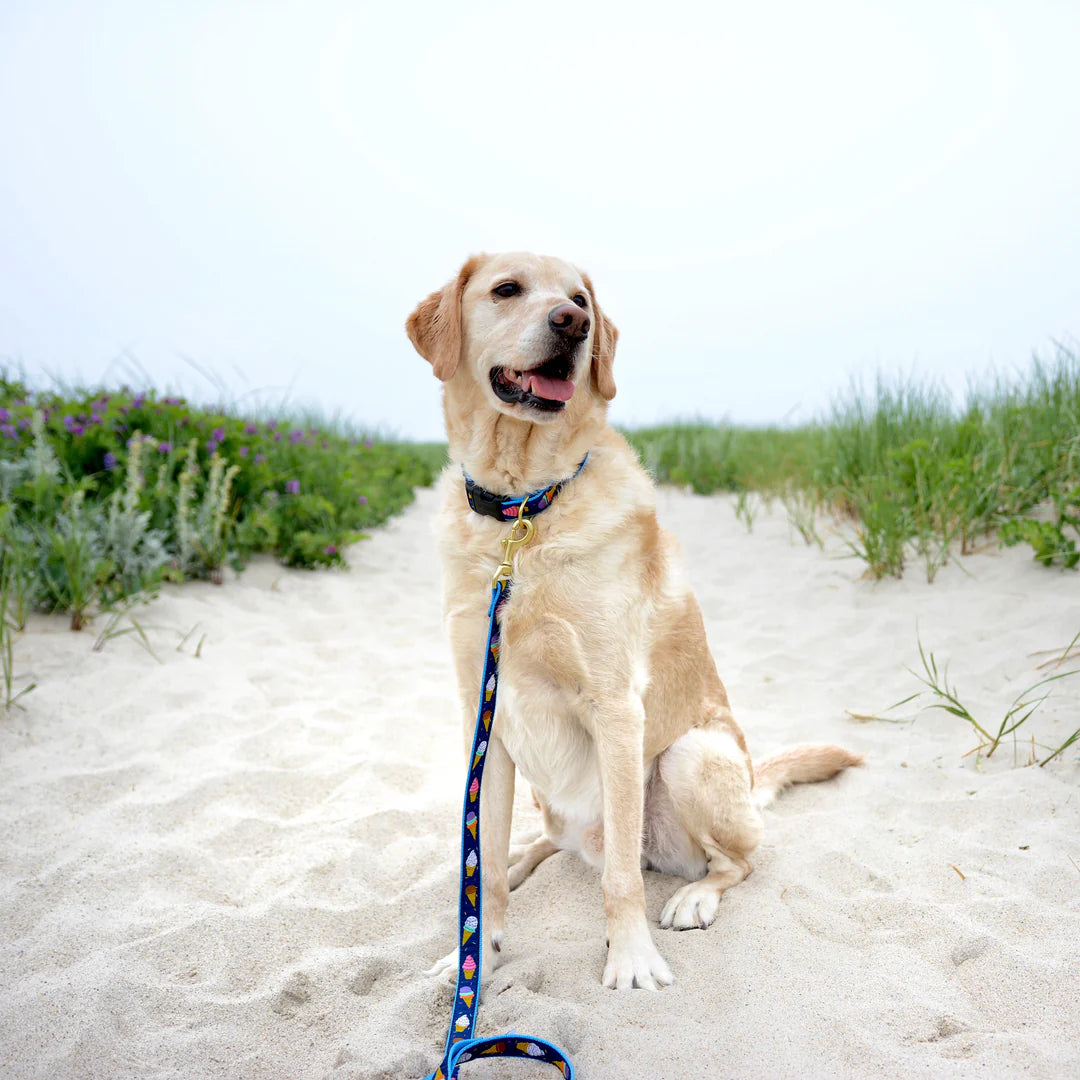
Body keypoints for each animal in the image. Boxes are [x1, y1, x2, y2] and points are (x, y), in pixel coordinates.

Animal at [406, 250, 859, 989]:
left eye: (580, 299)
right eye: (507, 290)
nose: (572, 323)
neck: (522, 510)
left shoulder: (616, 707)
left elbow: (622, 878)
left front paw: (632, 959)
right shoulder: (486, 720)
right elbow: (484, 873)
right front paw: (477, 952)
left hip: (690, 756)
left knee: (731, 861)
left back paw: (693, 896)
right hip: (549, 796)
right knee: (540, 847)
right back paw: (527, 864)